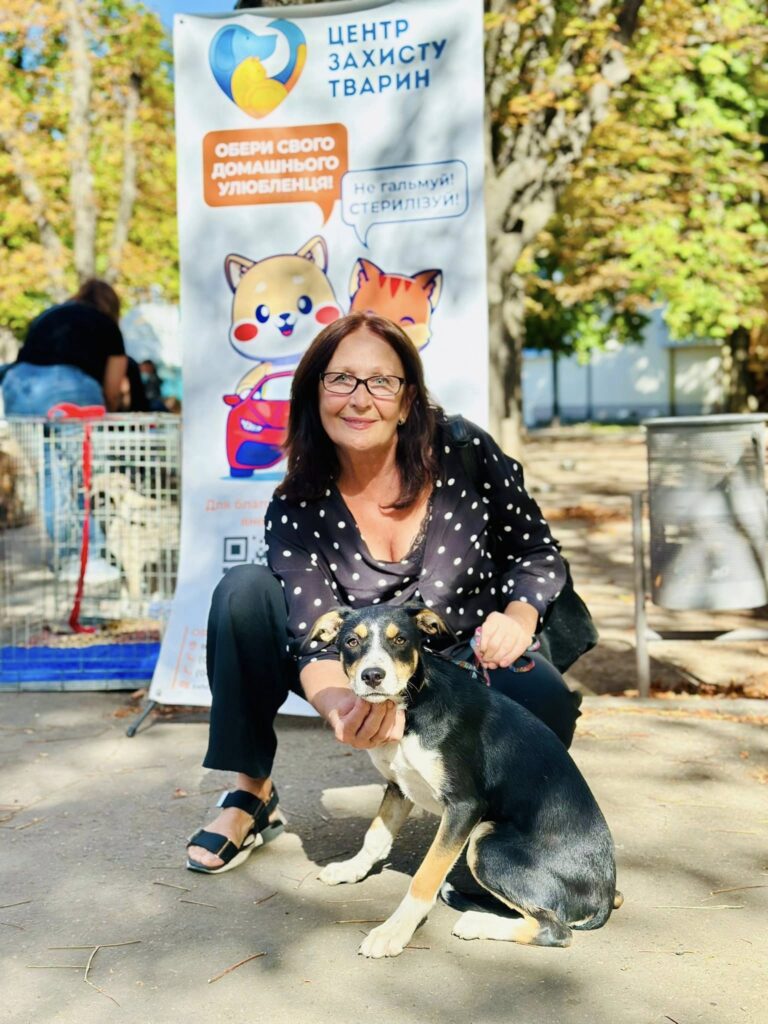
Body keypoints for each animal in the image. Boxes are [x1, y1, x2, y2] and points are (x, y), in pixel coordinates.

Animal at [307, 606, 621, 959]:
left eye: (400, 640)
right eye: (351, 641)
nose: (373, 675)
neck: (412, 703)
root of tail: (604, 896)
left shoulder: (464, 807)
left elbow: (425, 876)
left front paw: (393, 931)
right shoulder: (399, 786)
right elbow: (375, 835)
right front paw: (351, 869)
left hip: (486, 842)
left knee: (557, 930)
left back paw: (477, 923)